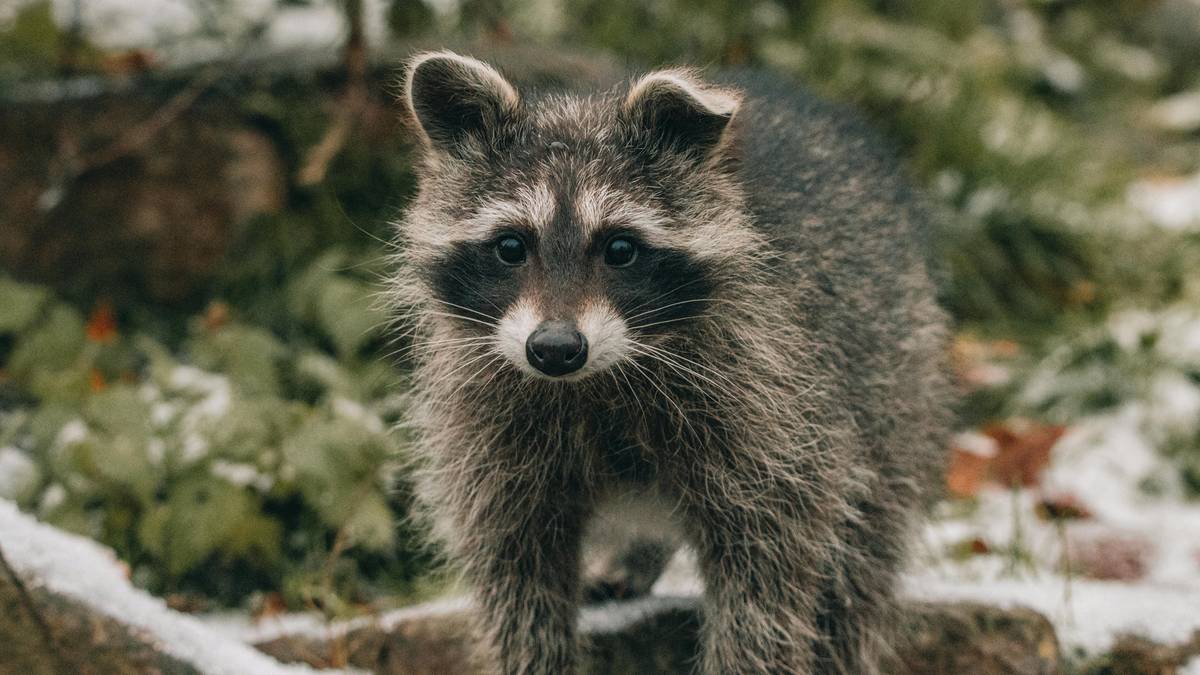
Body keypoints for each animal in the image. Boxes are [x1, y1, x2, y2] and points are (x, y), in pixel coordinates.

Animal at [388, 49, 950, 667]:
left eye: (620, 249)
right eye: (511, 246)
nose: (555, 349)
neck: (595, 380)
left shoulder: (775, 402)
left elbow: (767, 575)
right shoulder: (490, 435)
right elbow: (516, 579)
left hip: (890, 372)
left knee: (861, 561)